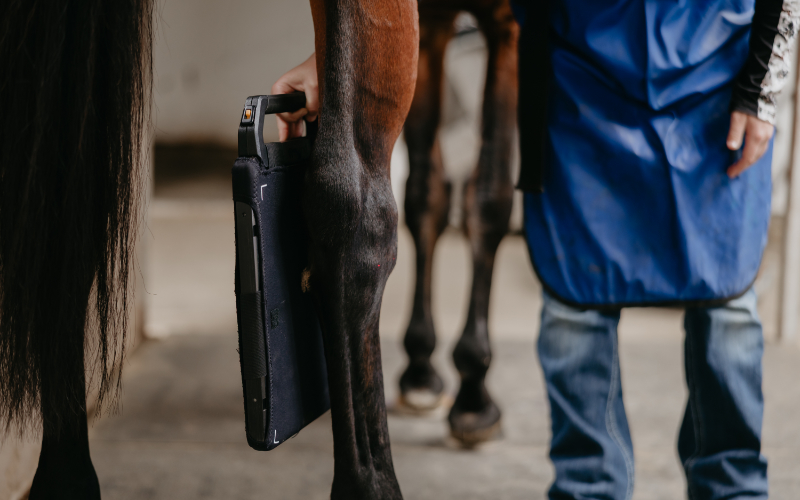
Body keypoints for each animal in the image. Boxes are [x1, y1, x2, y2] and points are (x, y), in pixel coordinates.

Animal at [398, 0, 518, 446]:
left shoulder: (509, 26)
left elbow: (489, 198)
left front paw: (472, 397)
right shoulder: (426, 23)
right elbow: (424, 194)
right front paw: (419, 368)